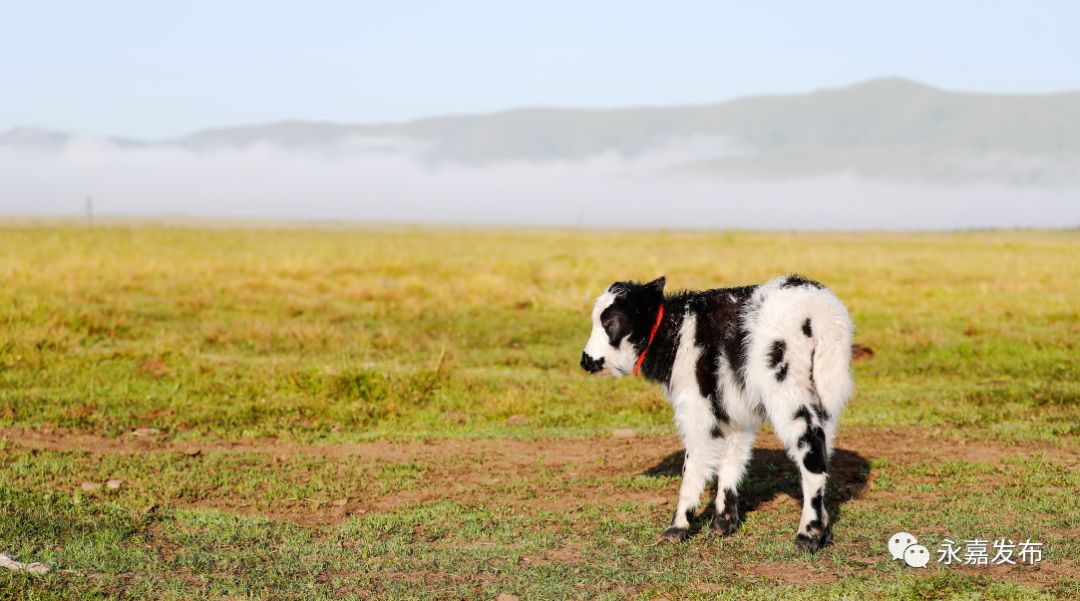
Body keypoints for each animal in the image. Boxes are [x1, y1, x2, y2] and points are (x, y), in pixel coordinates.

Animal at [578, 274, 855, 551]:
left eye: (609, 322)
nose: (585, 361)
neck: (676, 334)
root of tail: (817, 311)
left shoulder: (696, 410)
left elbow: (693, 468)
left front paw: (677, 528)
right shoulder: (734, 410)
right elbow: (732, 460)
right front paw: (723, 525)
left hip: (787, 390)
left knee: (810, 445)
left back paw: (808, 534)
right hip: (825, 391)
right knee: (823, 447)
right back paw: (823, 529)